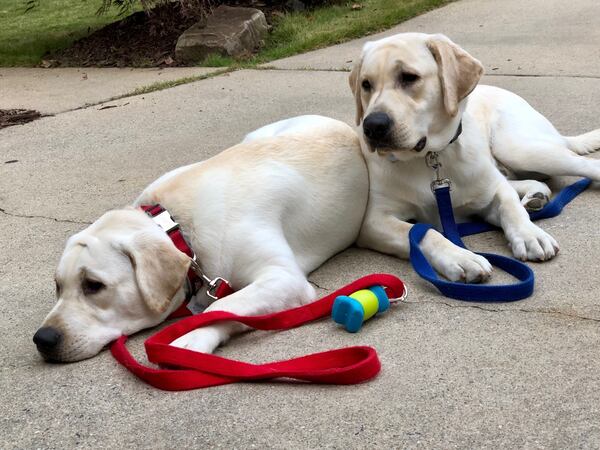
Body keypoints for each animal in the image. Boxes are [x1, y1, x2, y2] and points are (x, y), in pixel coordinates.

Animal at [36, 116, 370, 362]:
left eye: (94, 285)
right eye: (57, 286)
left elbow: (225, 305)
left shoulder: (284, 279)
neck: (177, 226)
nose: (42, 339)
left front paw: (193, 336)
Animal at [350, 33, 600, 284]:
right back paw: (535, 197)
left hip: (520, 149)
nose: (373, 126)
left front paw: (530, 235)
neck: (431, 158)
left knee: (586, 165)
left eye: (409, 77)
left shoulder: (489, 192)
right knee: (530, 181)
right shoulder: (373, 221)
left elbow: (510, 206)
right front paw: (460, 257)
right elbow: (422, 231)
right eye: (366, 84)